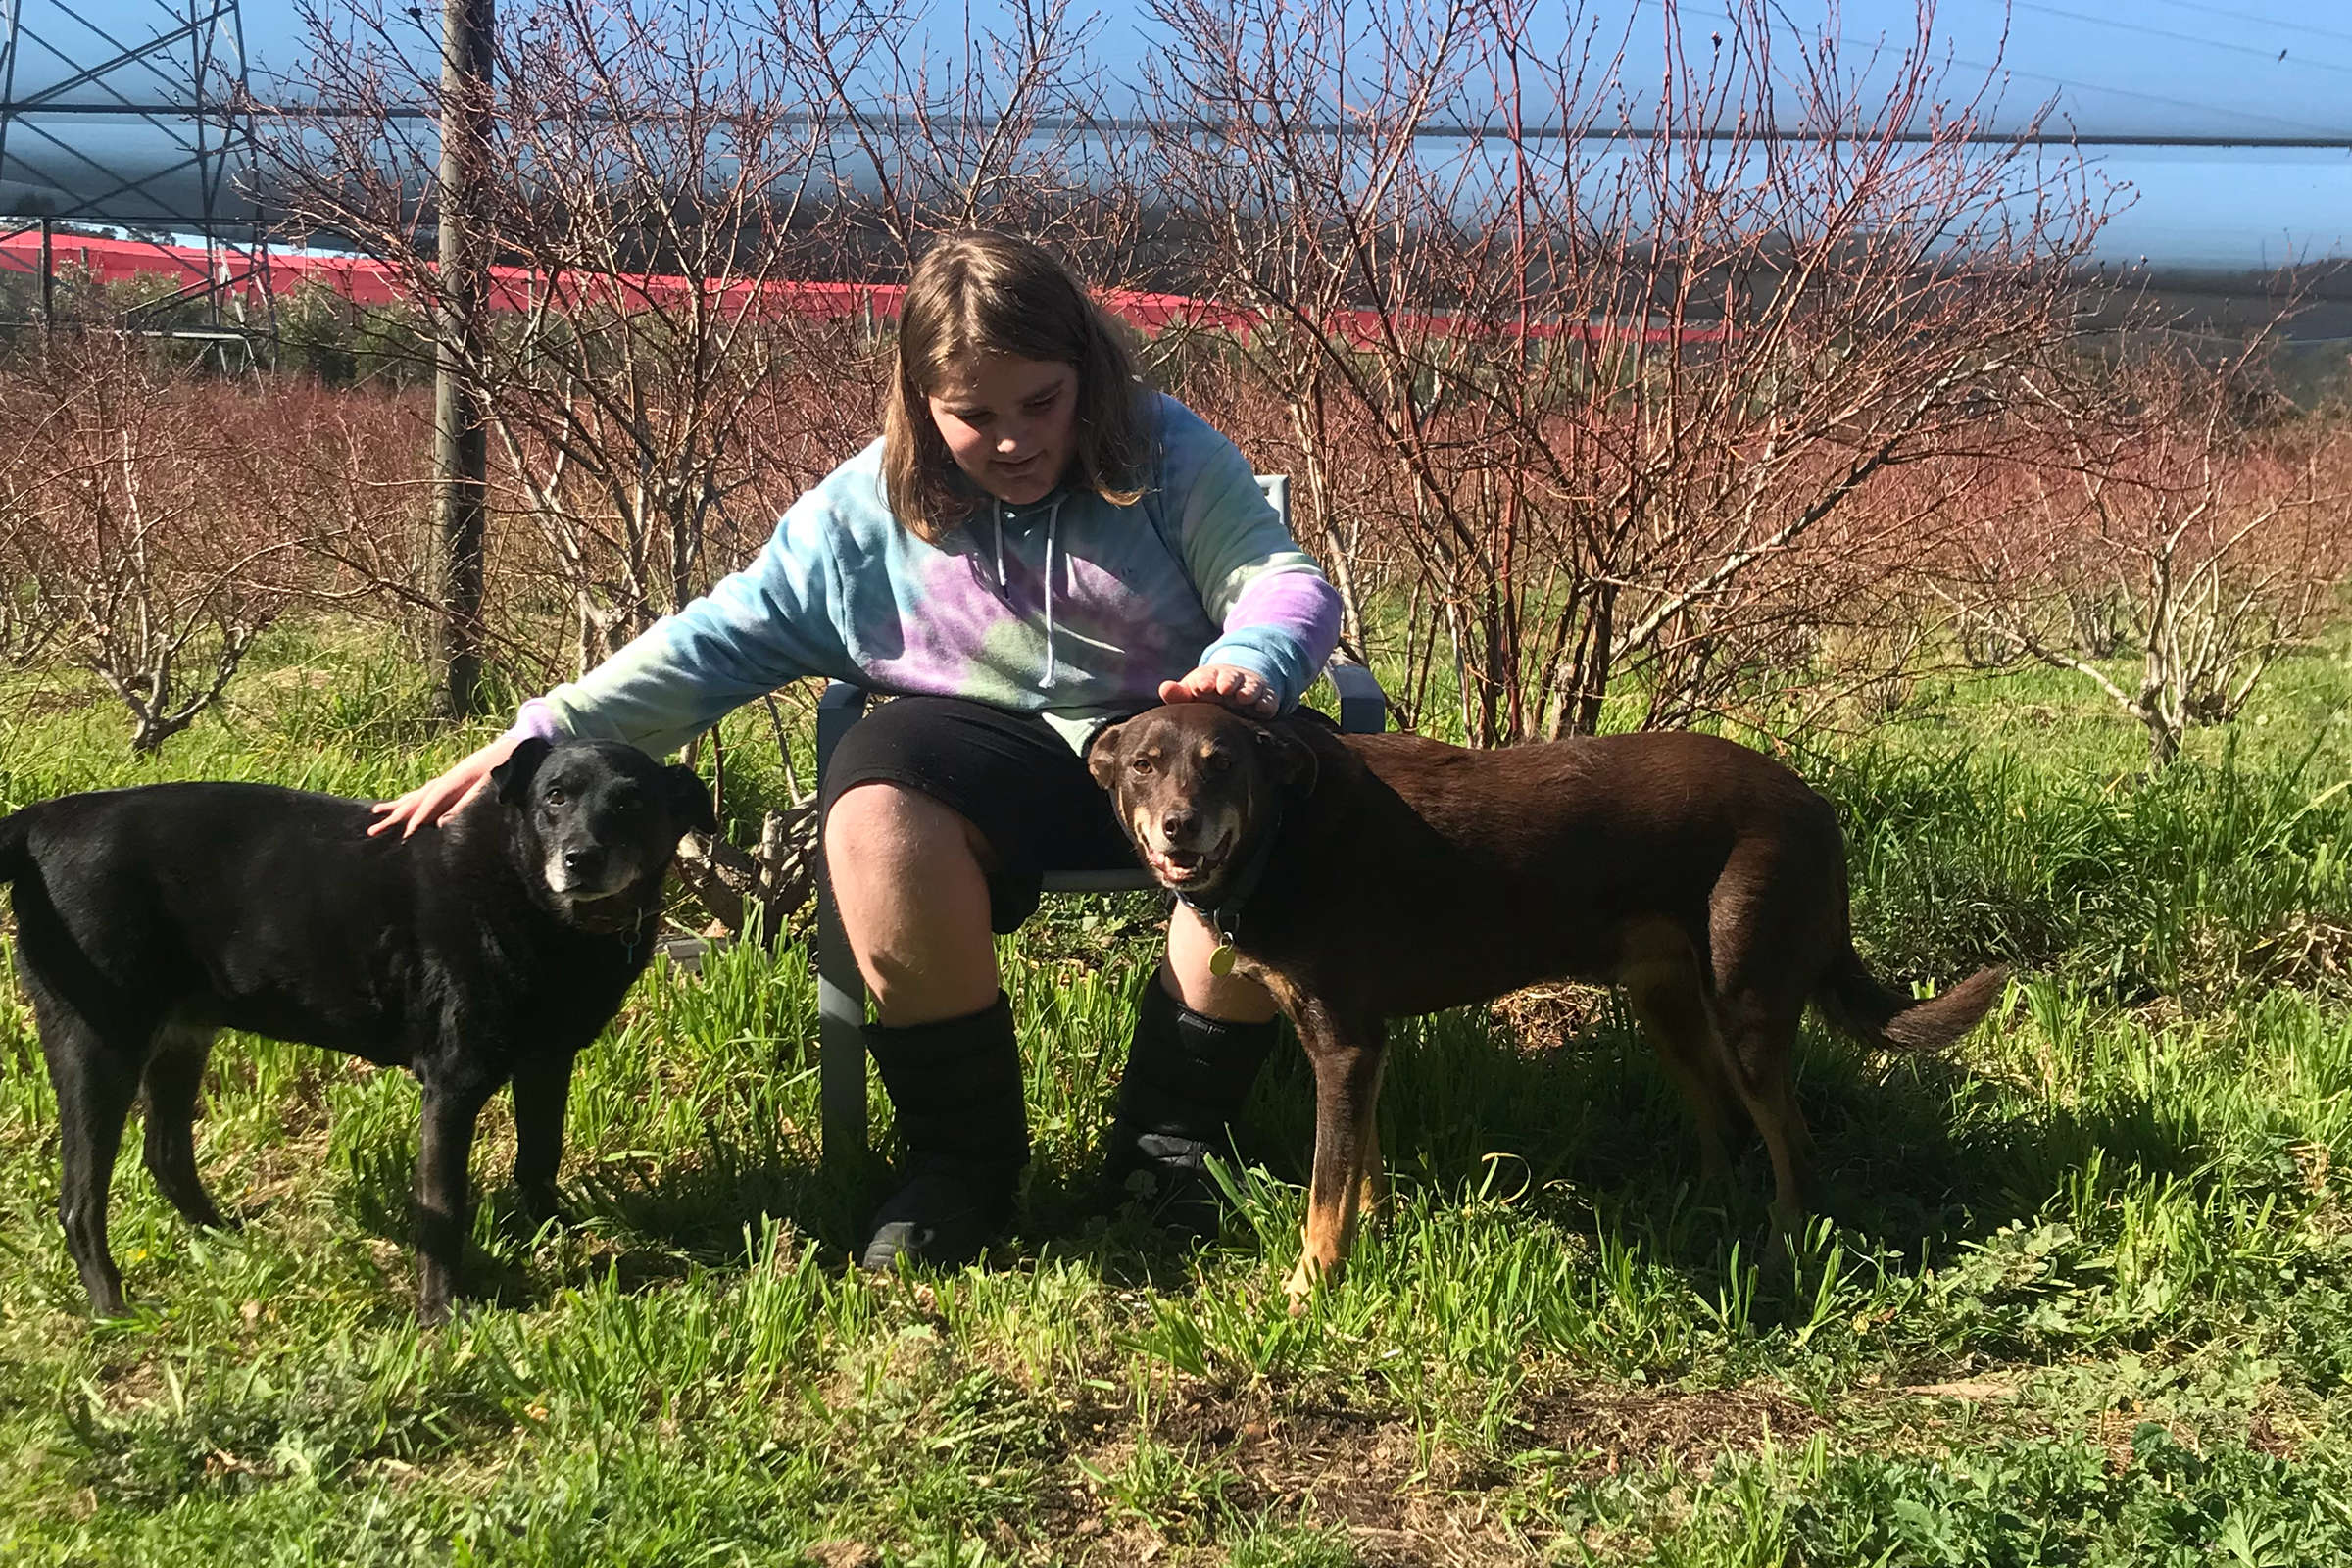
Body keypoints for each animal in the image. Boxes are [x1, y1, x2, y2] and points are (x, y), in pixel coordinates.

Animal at [2, 743, 714, 1316]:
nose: (580, 860)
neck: (528, 895)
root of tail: (37, 822)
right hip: (96, 1047)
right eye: (554, 796)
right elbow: (444, 1208)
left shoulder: (547, 1062)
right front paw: (441, 1312)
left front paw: (557, 1236)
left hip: (181, 1038)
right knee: (80, 1201)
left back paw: (227, 1240)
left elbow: (540, 1158)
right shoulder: (451, 1087)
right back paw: (112, 1308)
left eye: (631, 802)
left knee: (166, 1156)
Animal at [1091, 705, 2013, 1306]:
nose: (1179, 826)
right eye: (1144, 765)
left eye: (1222, 763)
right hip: (1670, 1005)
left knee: (1794, 1140)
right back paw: (1709, 1210)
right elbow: (1360, 1169)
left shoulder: (1344, 1043)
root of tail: (1814, 803)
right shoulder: (1360, 1047)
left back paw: (1783, 1248)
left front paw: (1309, 1287)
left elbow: (1326, 1186)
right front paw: (1374, 1235)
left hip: (1746, 1007)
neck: (1284, 829)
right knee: (1724, 1117)